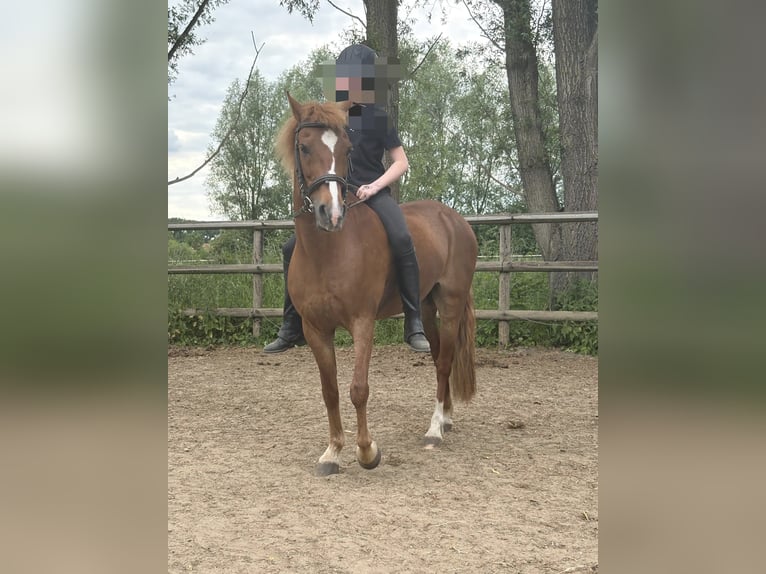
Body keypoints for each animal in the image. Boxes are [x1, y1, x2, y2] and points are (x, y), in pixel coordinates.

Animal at [275, 93, 479, 475]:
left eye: (346, 148)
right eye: (304, 147)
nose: (331, 214)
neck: (329, 250)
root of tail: (455, 219)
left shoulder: (362, 323)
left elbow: (358, 388)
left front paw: (367, 451)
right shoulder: (315, 329)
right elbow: (330, 390)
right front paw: (332, 452)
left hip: (451, 303)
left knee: (445, 362)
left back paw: (434, 430)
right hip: (426, 306)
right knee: (438, 358)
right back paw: (445, 418)